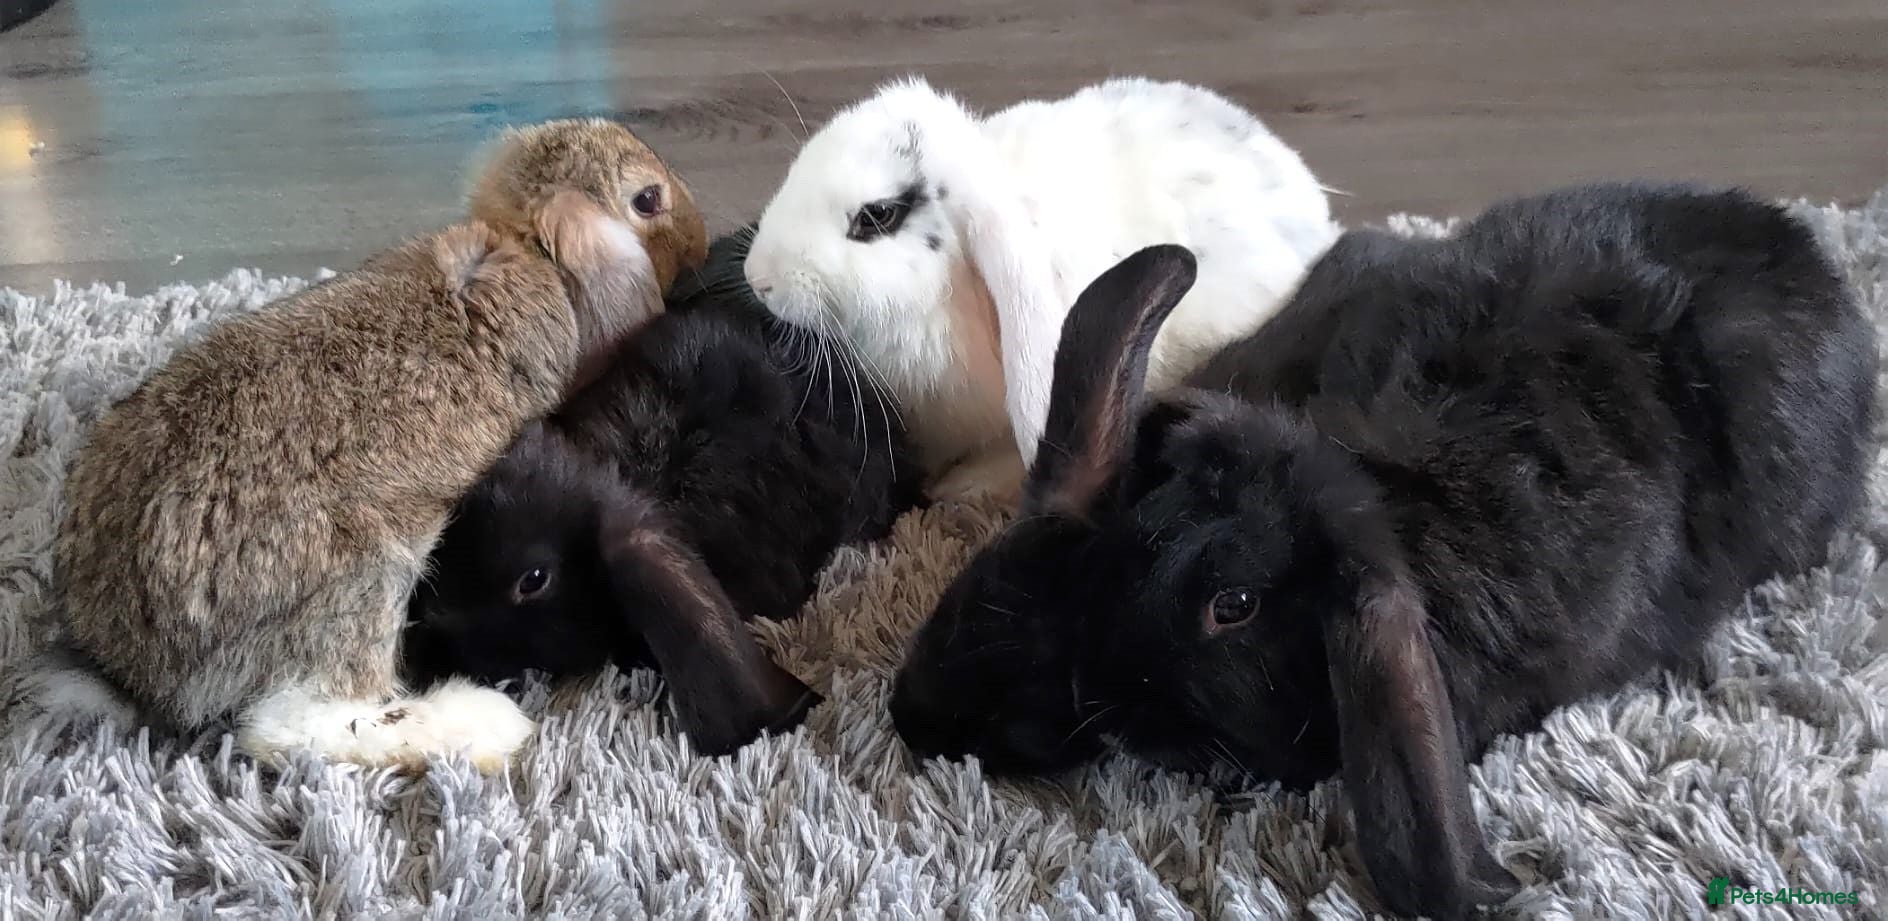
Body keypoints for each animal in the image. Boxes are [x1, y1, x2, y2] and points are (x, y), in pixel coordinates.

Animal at [47, 118, 710, 773]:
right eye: (647, 199)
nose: (700, 245)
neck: (528, 249)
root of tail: (137, 666)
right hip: (371, 572)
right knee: (297, 721)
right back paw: (486, 727)